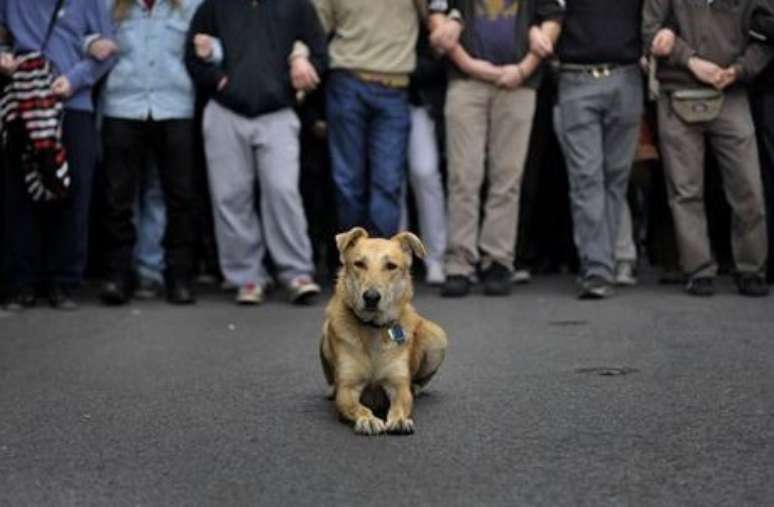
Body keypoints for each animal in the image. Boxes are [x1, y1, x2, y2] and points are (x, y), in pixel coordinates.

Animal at [320, 228, 448, 434]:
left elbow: (401, 404)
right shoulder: (347, 389)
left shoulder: (398, 385)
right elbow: (357, 407)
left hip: (438, 336)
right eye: (359, 264)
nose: (371, 297)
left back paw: (416, 388)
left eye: (391, 266)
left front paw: (400, 419)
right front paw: (368, 419)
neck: (373, 328)